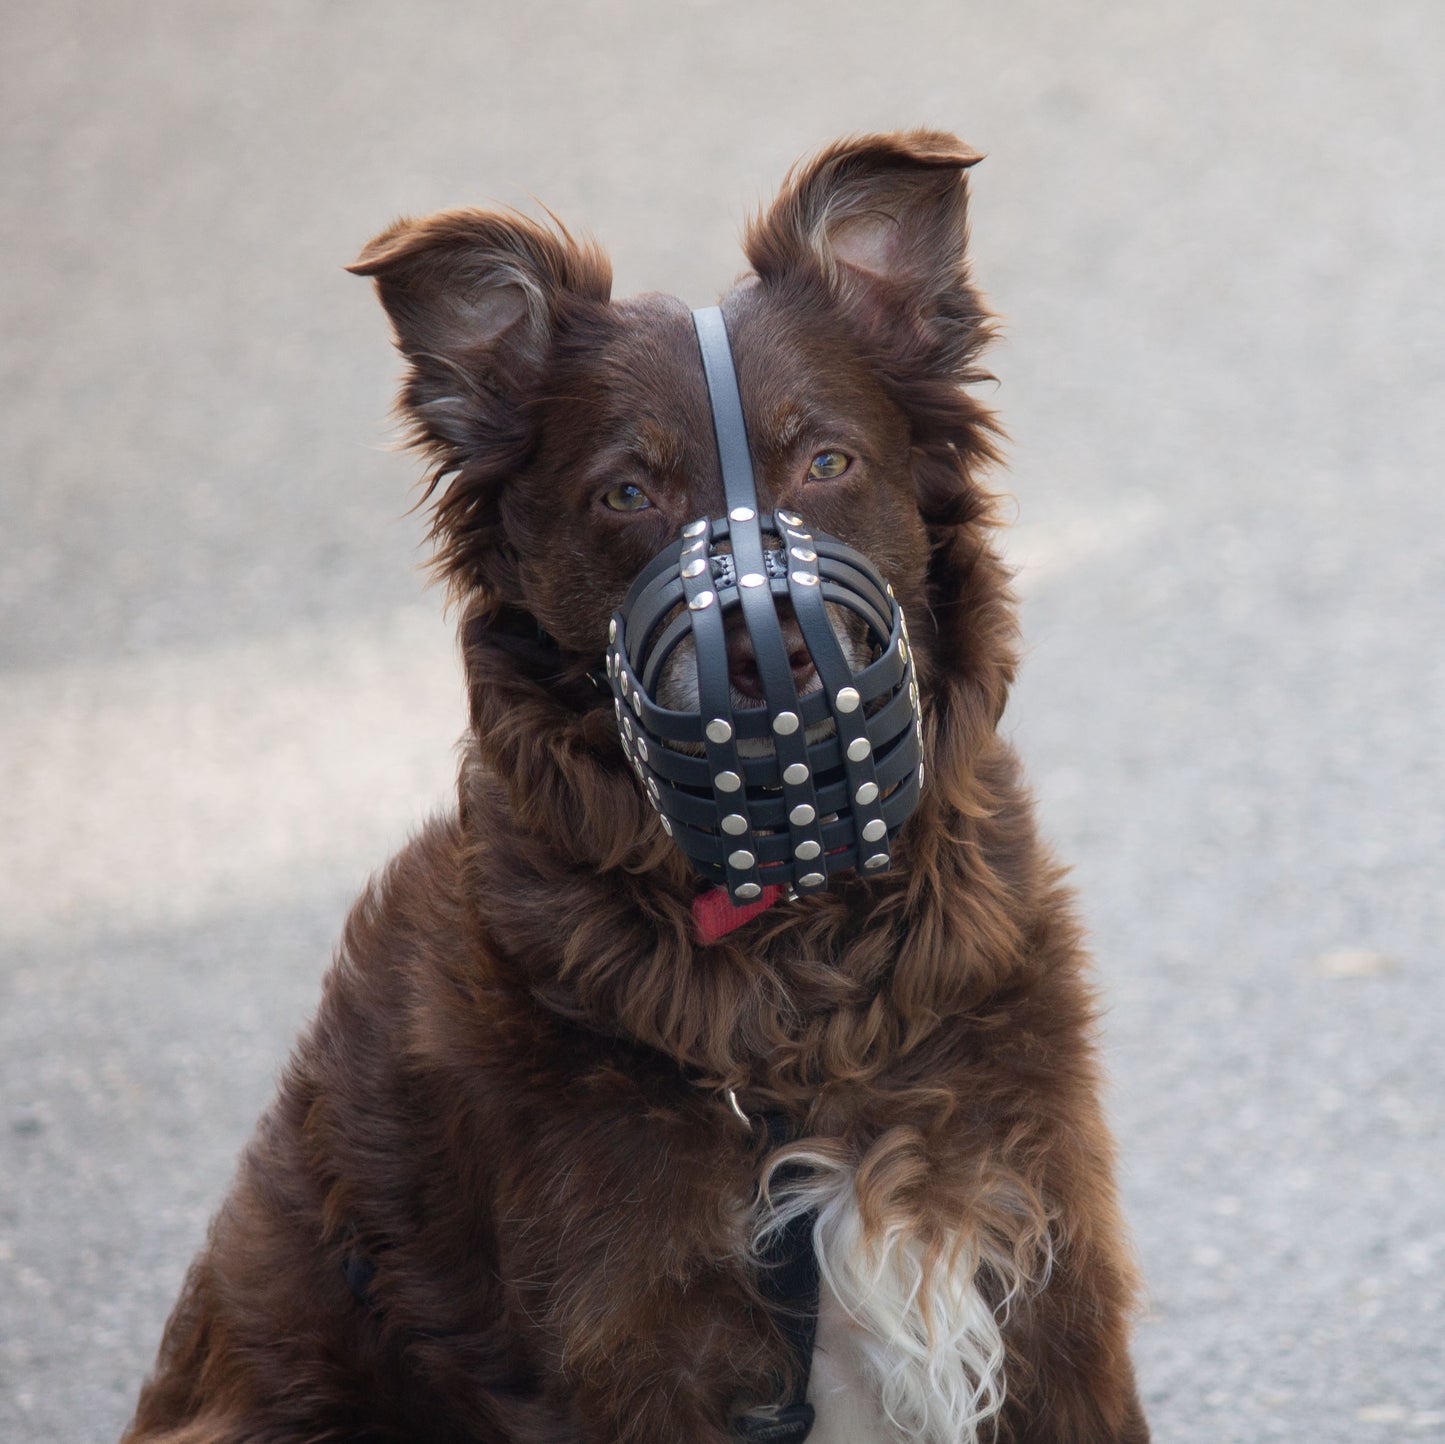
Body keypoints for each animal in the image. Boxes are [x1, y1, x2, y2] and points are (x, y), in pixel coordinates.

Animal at [124, 135, 1150, 1444]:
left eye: (827, 460)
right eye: (625, 493)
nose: (768, 656)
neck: (799, 983)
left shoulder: (1041, 1270)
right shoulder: (637, 1346)